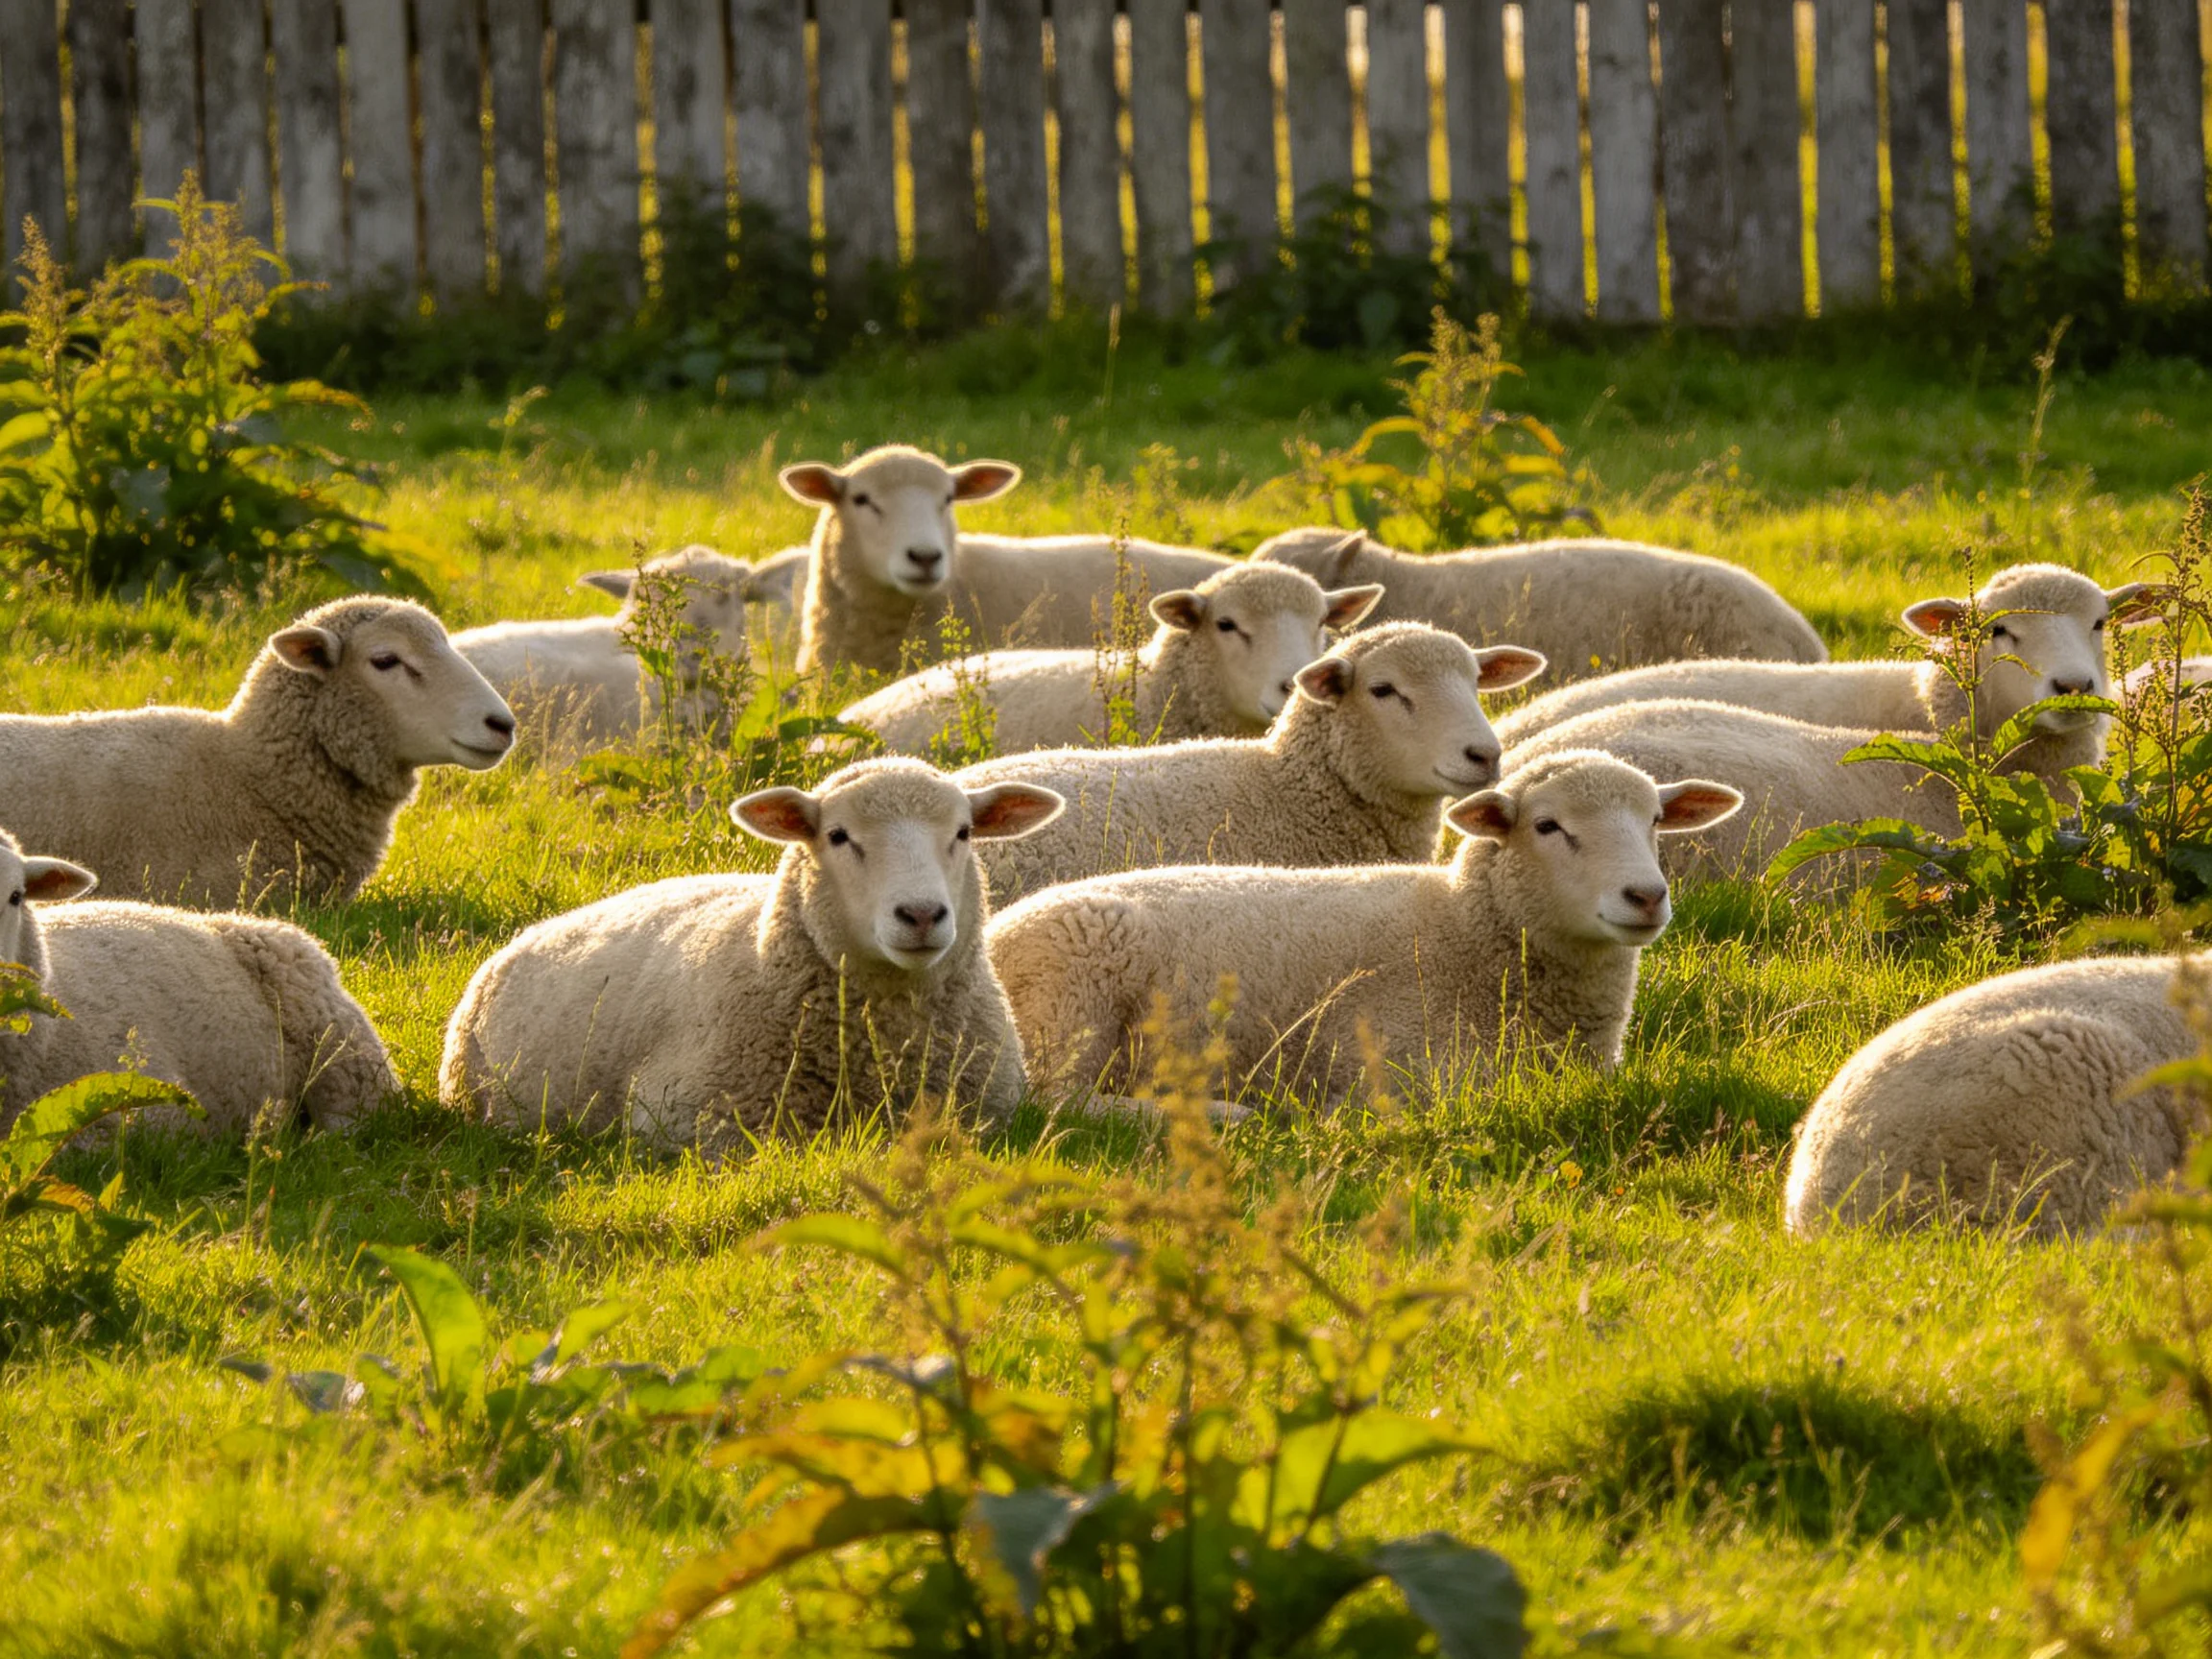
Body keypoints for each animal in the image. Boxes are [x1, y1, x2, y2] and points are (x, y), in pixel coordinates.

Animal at [438, 758, 1065, 1150]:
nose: (921, 915)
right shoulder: (685, 1119)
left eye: (963, 832)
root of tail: (525, 934)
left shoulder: (989, 1114)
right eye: (838, 836)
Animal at [987, 751, 1742, 1102]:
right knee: (1056, 1106)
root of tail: (994, 930)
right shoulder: (1396, 1070)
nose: (1646, 896)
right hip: (1070, 1002)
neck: (1466, 935)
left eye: (1655, 820)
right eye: (1549, 826)